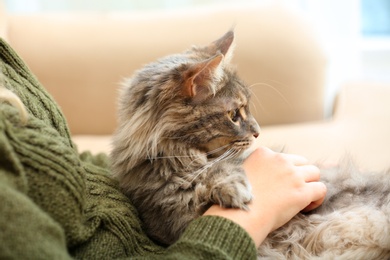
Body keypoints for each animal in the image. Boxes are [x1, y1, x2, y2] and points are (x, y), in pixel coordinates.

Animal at [109, 30, 390, 258]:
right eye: (234, 115)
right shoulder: (171, 219)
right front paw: (231, 189)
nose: (258, 132)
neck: (178, 164)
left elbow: (223, 168)